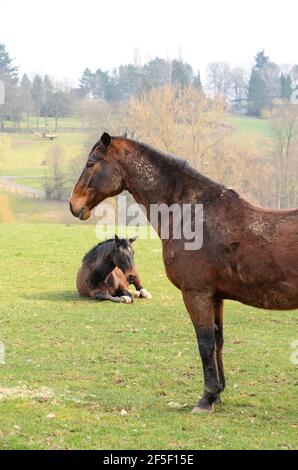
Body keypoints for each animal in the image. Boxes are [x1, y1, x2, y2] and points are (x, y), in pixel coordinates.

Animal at [70, 131, 298, 412]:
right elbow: (218, 341)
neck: (192, 216)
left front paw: (207, 398)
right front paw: (218, 393)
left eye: (91, 163)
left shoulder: (196, 294)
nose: (73, 204)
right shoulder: (215, 297)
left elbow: (205, 343)